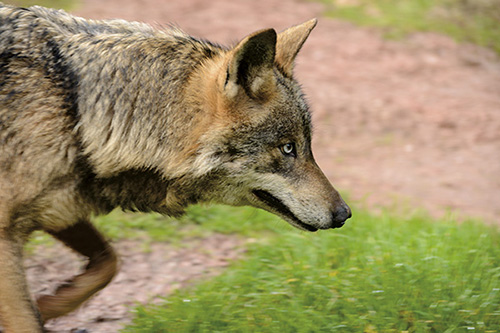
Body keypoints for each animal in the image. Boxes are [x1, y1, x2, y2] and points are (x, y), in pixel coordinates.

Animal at [0, 3, 350, 332]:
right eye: (288, 148)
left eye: (307, 146)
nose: (344, 214)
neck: (75, 111)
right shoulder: (8, 235)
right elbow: (28, 319)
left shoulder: (60, 210)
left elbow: (108, 262)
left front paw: (49, 305)